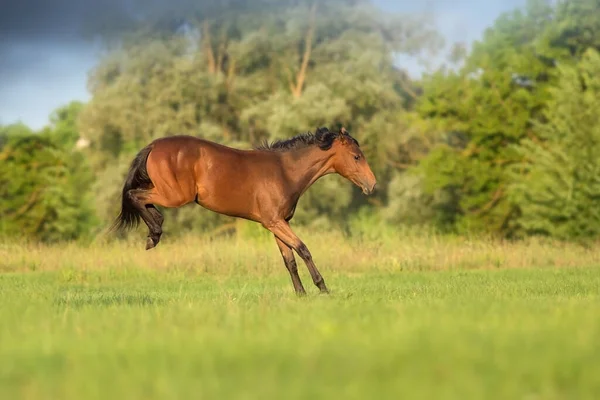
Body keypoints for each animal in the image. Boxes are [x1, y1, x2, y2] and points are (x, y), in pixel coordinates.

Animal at [111, 126, 376, 296]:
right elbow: (303, 250)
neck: (285, 171)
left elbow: (289, 260)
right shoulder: (275, 222)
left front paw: (301, 293)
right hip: (174, 195)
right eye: (356, 156)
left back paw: (153, 232)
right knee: (135, 195)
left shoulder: (279, 223)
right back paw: (154, 233)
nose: (372, 185)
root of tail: (153, 145)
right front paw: (322, 287)